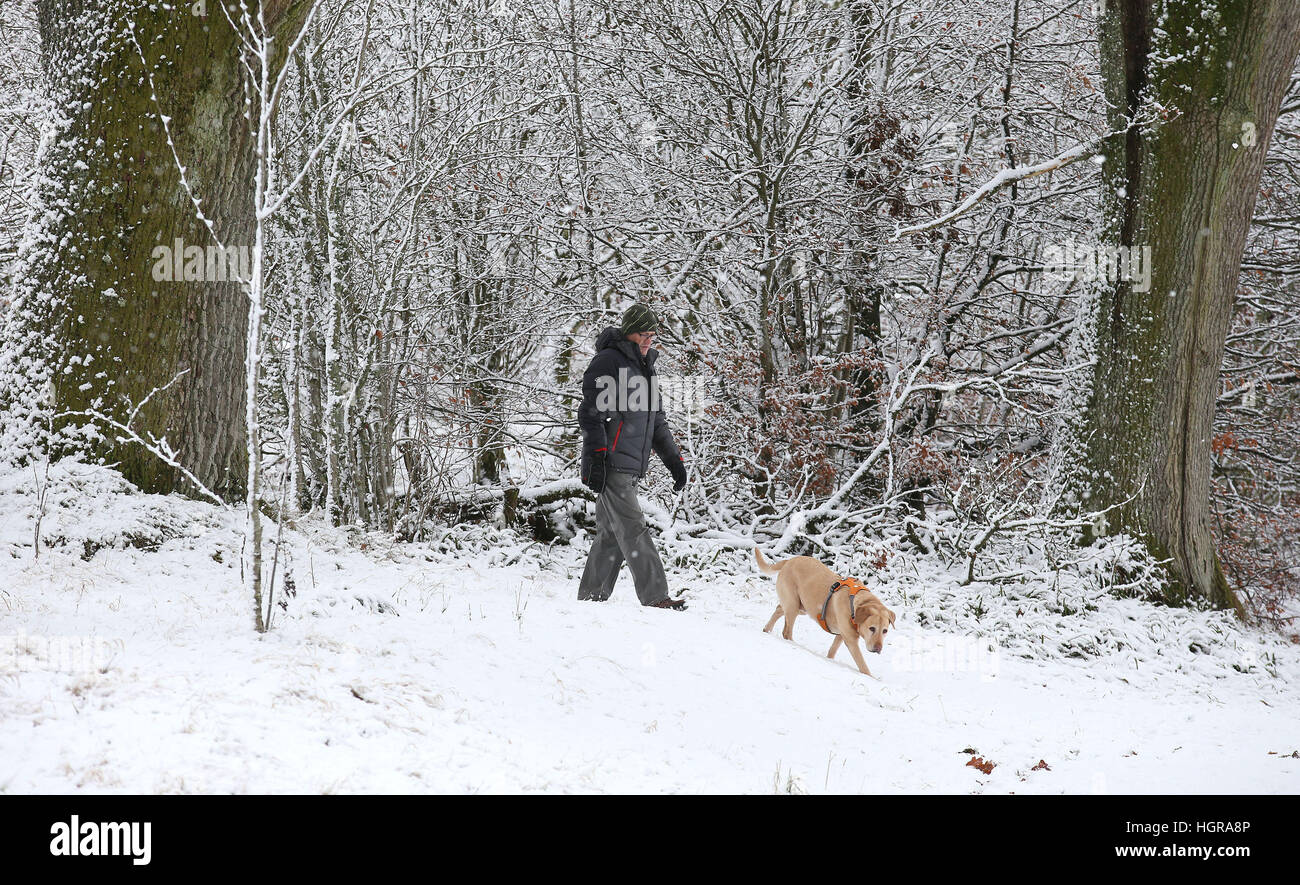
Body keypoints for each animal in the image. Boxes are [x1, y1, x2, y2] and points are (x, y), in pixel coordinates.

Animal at [754, 545, 894, 675]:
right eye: (872, 628)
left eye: (885, 631)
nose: (878, 649)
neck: (855, 604)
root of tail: (789, 560)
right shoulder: (851, 641)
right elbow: (863, 666)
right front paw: (872, 677)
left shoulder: (842, 635)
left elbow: (832, 650)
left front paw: (829, 659)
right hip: (793, 605)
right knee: (786, 632)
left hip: (801, 606)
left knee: (779, 609)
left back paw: (767, 629)